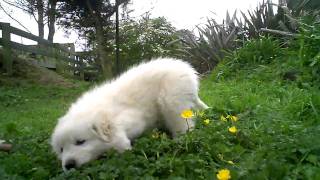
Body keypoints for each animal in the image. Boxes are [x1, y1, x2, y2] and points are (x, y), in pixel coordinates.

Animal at [50, 57, 208, 170]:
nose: (69, 165)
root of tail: (186, 69)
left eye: (80, 142)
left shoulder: (132, 118)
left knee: (184, 125)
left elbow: (119, 137)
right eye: (61, 149)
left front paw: (123, 148)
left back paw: (180, 142)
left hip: (171, 100)